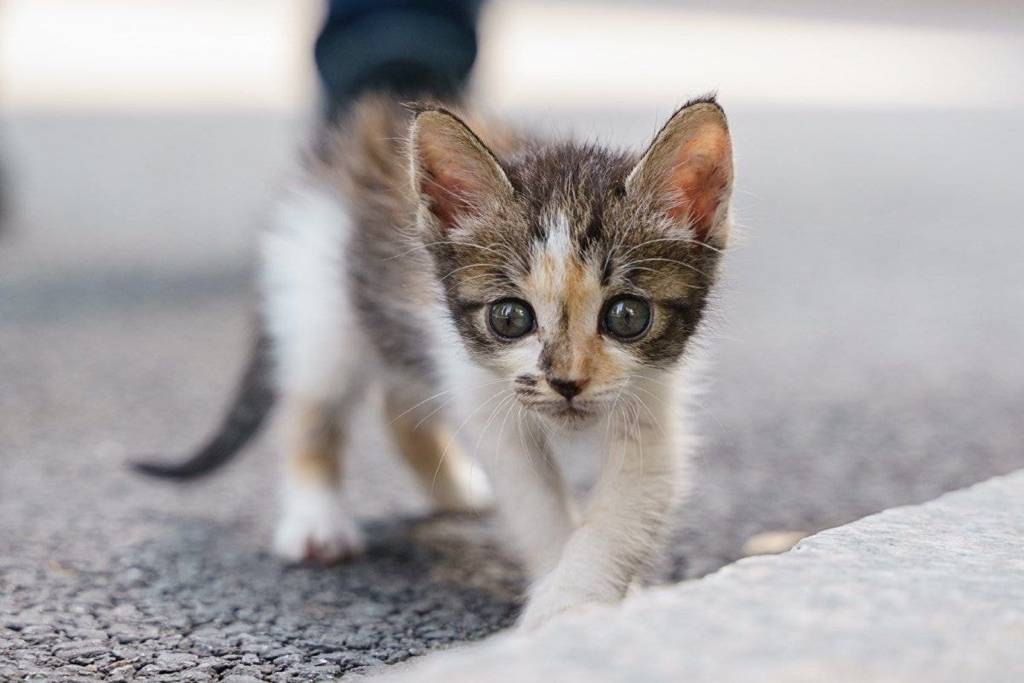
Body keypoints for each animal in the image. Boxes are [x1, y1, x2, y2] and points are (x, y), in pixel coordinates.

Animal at [136, 96, 733, 630]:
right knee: (312, 405)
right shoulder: (484, 392)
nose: (567, 383)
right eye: (510, 318)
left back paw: (456, 491)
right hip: (321, 304)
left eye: (627, 315)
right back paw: (315, 519)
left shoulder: (652, 398)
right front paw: (562, 600)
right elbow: (535, 501)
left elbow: (629, 507)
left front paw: (581, 595)